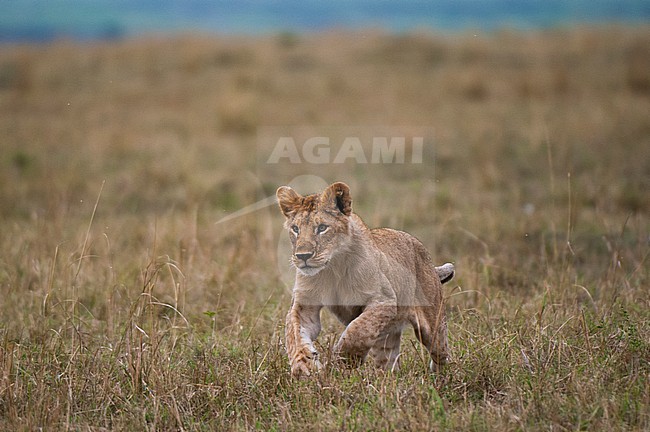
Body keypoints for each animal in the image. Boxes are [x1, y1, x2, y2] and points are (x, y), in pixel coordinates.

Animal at [276, 181, 454, 376]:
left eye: (322, 227)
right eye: (295, 229)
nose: (303, 256)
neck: (331, 270)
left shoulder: (384, 300)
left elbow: (358, 330)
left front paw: (344, 361)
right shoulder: (305, 304)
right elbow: (294, 334)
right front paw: (305, 367)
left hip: (433, 327)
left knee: (441, 353)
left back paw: (439, 377)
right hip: (386, 339)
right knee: (389, 364)